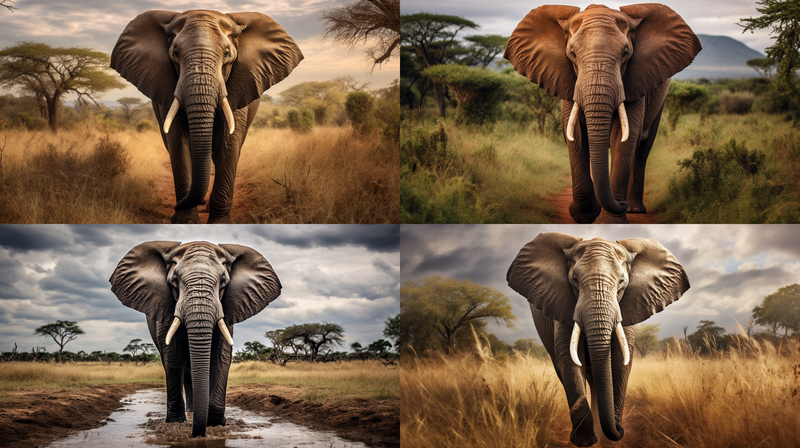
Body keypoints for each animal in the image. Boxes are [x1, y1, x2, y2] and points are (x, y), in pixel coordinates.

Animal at [110, 241, 281, 437]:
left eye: (223, 281)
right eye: (175, 280)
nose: (196, 433)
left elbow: (221, 356)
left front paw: (216, 423)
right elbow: (174, 358)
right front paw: (176, 424)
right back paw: (190, 412)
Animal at [111, 10, 303, 223]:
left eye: (227, 54)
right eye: (175, 53)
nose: (176, 205)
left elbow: (228, 143)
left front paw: (219, 222)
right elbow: (178, 143)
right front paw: (185, 220)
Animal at [504, 4, 701, 223]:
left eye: (626, 53)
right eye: (572, 54)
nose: (621, 204)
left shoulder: (635, 81)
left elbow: (623, 139)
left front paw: (611, 220)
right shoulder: (568, 81)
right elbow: (576, 136)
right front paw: (584, 215)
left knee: (642, 150)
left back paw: (634, 208)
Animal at [507, 233, 689, 446]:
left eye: (622, 282)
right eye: (574, 280)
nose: (620, 429)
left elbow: (620, 361)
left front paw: (608, 441)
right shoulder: (561, 304)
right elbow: (569, 359)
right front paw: (584, 441)